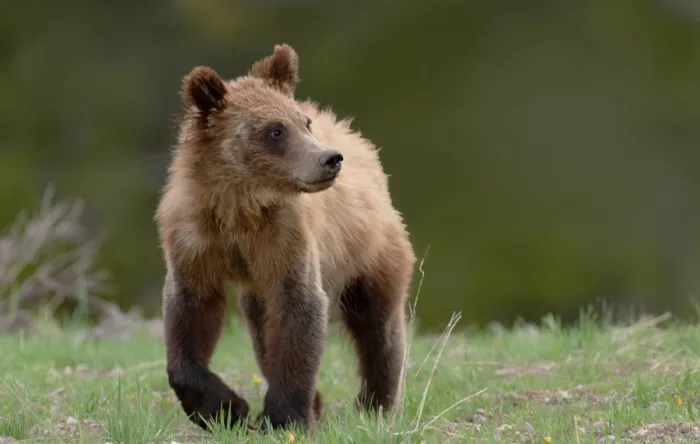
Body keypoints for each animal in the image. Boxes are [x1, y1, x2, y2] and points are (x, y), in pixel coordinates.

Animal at [155, 43, 416, 433]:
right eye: (275, 130)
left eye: (302, 122)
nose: (329, 158)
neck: (239, 206)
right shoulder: (195, 240)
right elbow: (189, 313)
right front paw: (226, 408)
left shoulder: (285, 239)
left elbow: (300, 307)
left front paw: (283, 416)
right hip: (257, 290)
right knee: (264, 332)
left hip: (372, 249)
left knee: (378, 325)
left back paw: (377, 404)